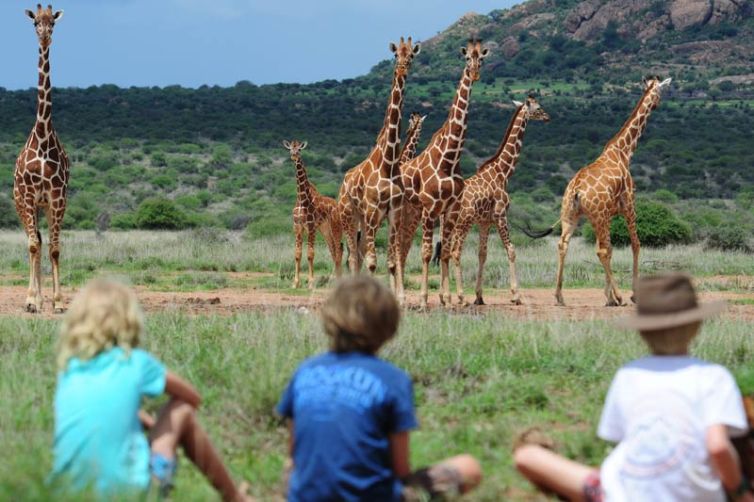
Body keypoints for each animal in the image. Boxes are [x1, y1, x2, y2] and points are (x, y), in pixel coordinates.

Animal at [284, 140, 343, 289]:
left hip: (336, 227)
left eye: (299, 149)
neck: (301, 198)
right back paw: (334, 279)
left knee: (339, 250)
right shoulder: (298, 227)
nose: (293, 155)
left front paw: (310, 283)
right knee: (334, 250)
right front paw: (295, 283)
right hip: (325, 229)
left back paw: (338, 279)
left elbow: (310, 254)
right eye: (290, 148)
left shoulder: (311, 227)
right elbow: (298, 254)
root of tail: (337, 206)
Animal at [337, 37, 420, 304]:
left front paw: (400, 300)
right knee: (354, 256)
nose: (402, 69)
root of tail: (343, 183)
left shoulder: (394, 213)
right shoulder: (374, 211)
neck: (389, 163)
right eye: (396, 55)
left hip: (365, 220)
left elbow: (392, 262)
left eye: (411, 55)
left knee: (359, 253)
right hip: (350, 215)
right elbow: (373, 263)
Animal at [399, 38, 489, 308]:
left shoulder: (451, 210)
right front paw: (424, 300)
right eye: (467, 58)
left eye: (482, 58)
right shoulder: (430, 208)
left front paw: (448, 300)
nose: (475, 73)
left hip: (411, 214)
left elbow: (446, 252)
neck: (450, 158)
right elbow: (427, 253)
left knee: (400, 249)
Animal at [447, 96, 550, 306]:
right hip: (462, 223)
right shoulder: (501, 215)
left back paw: (446, 296)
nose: (547, 117)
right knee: (455, 251)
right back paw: (460, 296)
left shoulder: (485, 222)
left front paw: (479, 296)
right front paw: (516, 295)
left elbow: (482, 254)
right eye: (538, 108)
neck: (503, 171)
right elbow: (511, 250)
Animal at [552, 76, 672, 307]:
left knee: (563, 245)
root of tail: (576, 190)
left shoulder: (607, 215)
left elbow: (611, 248)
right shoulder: (628, 207)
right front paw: (630, 295)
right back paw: (620, 296)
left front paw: (607, 297)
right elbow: (634, 244)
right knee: (601, 251)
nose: (657, 104)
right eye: (661, 91)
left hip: (572, 216)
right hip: (597, 216)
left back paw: (559, 296)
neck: (624, 151)